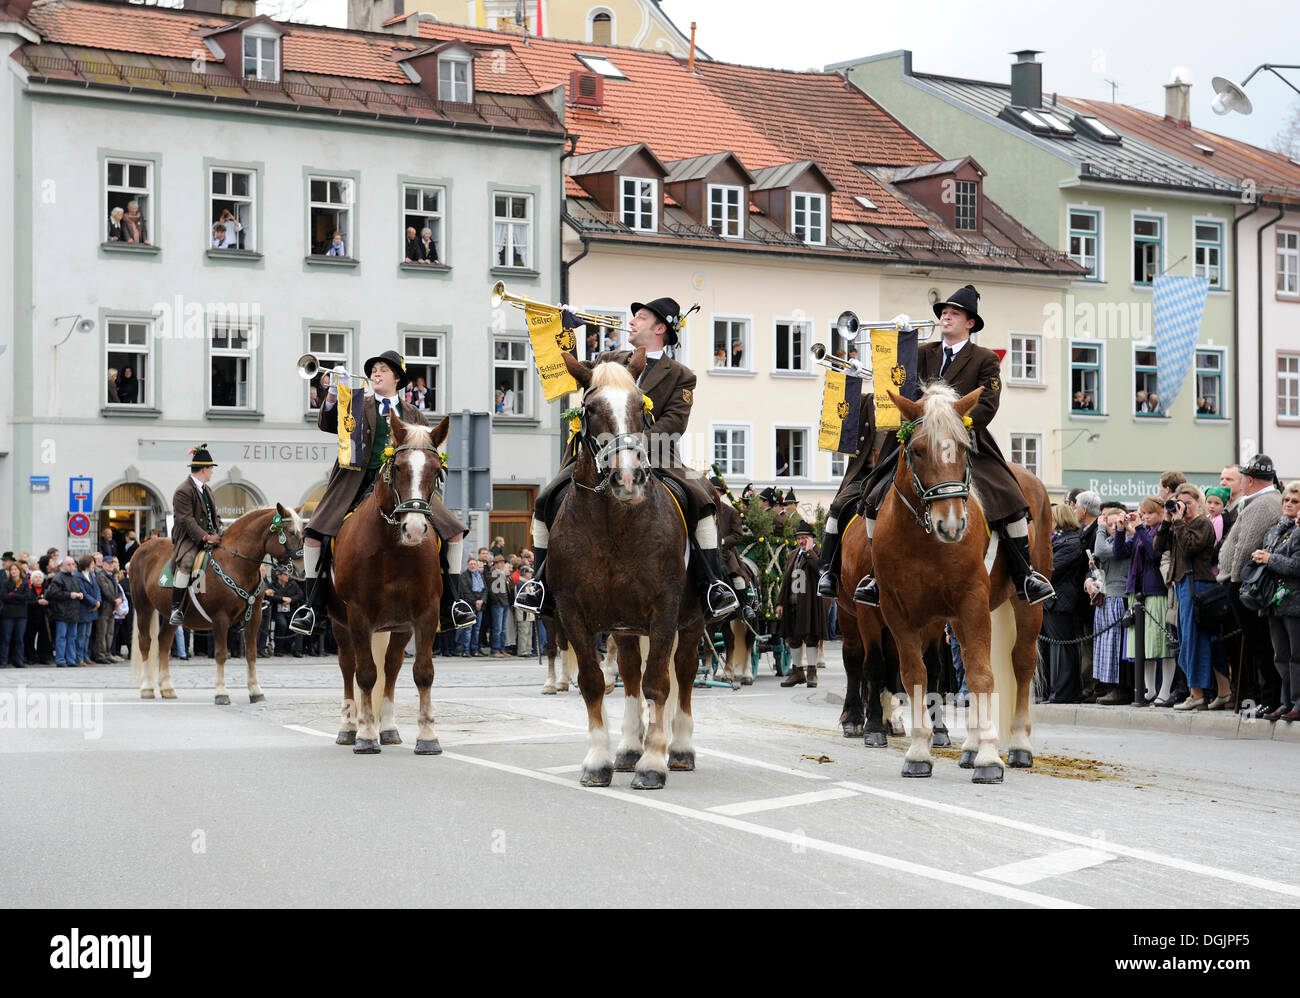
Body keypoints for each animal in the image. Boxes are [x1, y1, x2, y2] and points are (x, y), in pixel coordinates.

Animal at [130, 506, 305, 701]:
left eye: (302, 533)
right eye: (290, 532)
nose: (301, 570)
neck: (236, 564)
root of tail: (144, 546)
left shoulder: (255, 617)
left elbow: (251, 654)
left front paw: (255, 690)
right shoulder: (220, 618)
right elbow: (221, 654)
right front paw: (221, 691)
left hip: (170, 614)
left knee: (164, 641)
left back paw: (167, 688)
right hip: (143, 607)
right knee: (146, 642)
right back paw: (147, 688)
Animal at [330, 415, 452, 758]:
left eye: (436, 471)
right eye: (397, 467)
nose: (415, 528)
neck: (394, 548)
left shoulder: (426, 614)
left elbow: (423, 672)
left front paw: (427, 736)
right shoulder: (358, 616)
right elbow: (365, 674)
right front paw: (365, 734)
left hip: (398, 628)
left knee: (393, 665)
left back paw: (388, 728)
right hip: (341, 624)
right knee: (349, 666)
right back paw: (349, 727)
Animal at [553, 350, 707, 790]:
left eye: (641, 407)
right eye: (590, 409)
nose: (628, 476)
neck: (612, 523)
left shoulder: (665, 610)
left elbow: (660, 683)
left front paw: (653, 763)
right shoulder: (572, 612)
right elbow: (593, 682)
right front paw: (598, 761)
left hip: (691, 622)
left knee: (683, 675)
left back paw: (680, 749)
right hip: (624, 627)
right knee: (630, 675)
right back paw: (626, 748)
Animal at [868, 384, 1050, 784]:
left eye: (964, 448)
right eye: (917, 450)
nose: (951, 525)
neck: (923, 541)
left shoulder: (972, 600)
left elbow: (982, 676)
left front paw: (989, 758)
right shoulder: (898, 611)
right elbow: (914, 675)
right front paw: (920, 752)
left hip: (1025, 605)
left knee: (1021, 663)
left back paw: (1018, 745)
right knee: (967, 661)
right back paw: (969, 747)